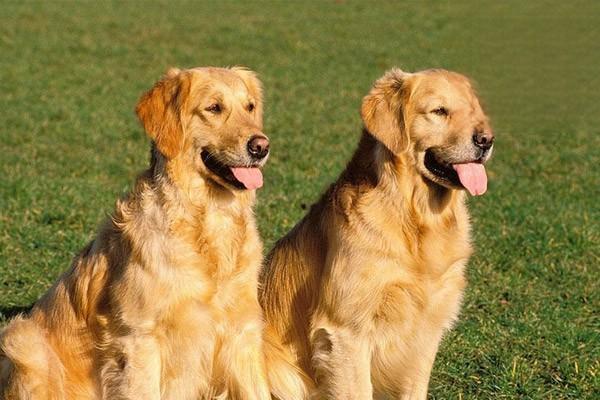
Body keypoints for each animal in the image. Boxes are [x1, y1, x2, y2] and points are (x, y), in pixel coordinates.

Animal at [0, 66, 286, 400]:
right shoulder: (140, 338)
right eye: (214, 108)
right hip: (23, 339)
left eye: (250, 107)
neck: (209, 221)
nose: (261, 146)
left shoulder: (242, 331)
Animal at [260, 67, 494, 398]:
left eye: (474, 109)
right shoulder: (346, 331)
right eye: (439, 111)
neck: (414, 219)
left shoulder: (426, 331)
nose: (486, 140)